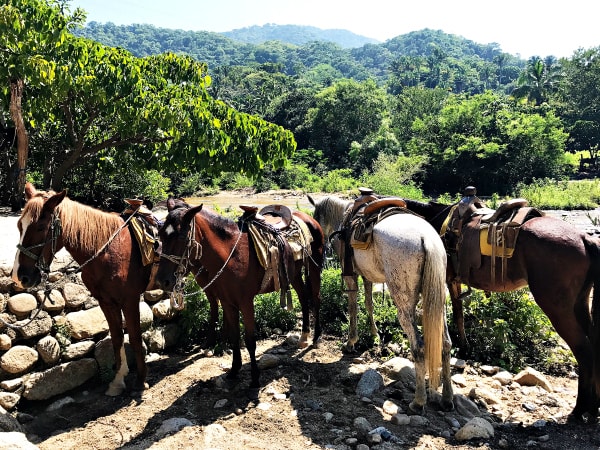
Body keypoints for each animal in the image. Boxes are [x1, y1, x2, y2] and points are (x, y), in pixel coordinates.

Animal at [10, 182, 154, 394]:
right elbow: (117, 337)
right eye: (20, 225)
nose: (19, 276)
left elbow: (135, 337)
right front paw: (118, 381)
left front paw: (141, 380)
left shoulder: (130, 300)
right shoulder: (106, 302)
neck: (106, 251)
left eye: (41, 227)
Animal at [155, 198, 324, 390]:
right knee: (303, 298)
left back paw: (316, 337)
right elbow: (235, 336)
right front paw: (234, 370)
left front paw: (255, 378)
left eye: (182, 237)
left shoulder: (246, 302)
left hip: (314, 268)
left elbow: (250, 340)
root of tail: (308, 218)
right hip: (293, 274)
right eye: (160, 235)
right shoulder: (228, 302)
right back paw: (304, 336)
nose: (162, 281)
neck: (231, 254)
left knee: (316, 299)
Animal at [310, 195, 454, 414]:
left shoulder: (350, 275)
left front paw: (351, 342)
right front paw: (374, 335)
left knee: (419, 347)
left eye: (316, 218)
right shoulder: (367, 275)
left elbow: (353, 306)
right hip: (438, 303)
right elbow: (369, 303)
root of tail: (427, 240)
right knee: (445, 344)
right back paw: (447, 398)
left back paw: (418, 401)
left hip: (404, 305)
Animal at [400, 197, 600, 422]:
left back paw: (579, 410)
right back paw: (593, 410)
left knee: (584, 352)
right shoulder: (453, 282)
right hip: (580, 302)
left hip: (557, 308)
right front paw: (465, 346)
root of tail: (584, 238)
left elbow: (456, 314)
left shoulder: (445, 280)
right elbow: (459, 315)